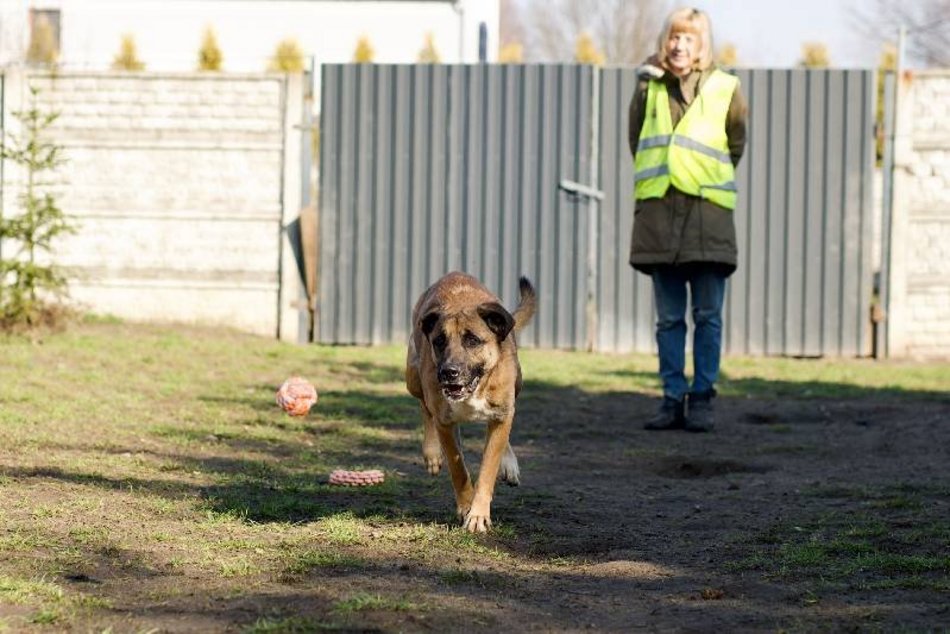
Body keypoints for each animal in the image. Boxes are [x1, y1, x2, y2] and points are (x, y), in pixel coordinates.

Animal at [406, 270, 536, 532]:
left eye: (473, 340)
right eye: (439, 341)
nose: (448, 372)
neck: (475, 387)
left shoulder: (502, 414)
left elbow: (488, 468)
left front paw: (477, 514)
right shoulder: (444, 423)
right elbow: (458, 467)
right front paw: (466, 506)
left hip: (518, 383)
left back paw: (509, 463)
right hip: (412, 376)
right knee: (425, 407)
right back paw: (432, 452)